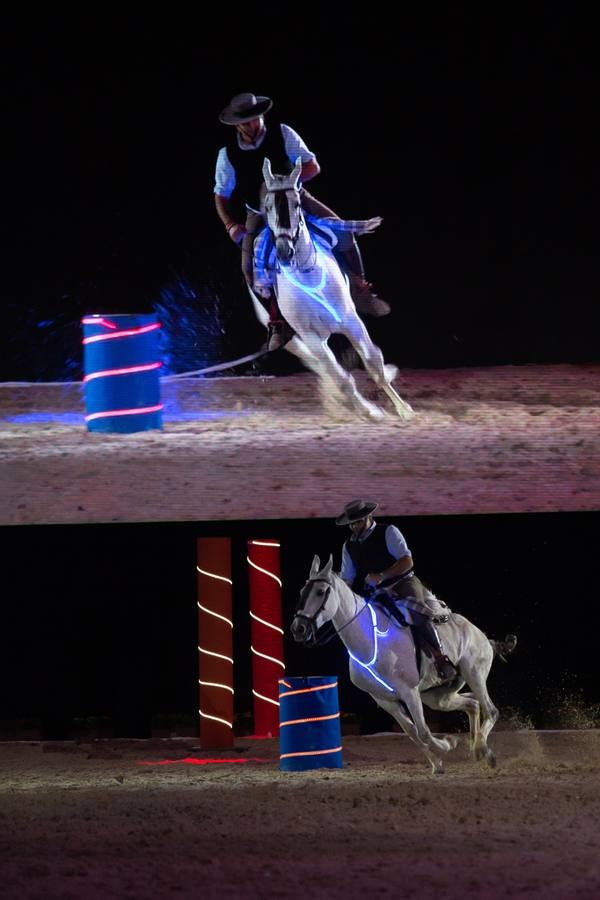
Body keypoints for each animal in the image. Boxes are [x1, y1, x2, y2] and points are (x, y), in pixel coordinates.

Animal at [248, 157, 412, 422]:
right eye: (268, 206)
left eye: (296, 204)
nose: (284, 252)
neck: (309, 276)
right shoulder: (311, 337)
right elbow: (341, 379)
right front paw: (371, 412)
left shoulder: (350, 321)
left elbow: (373, 363)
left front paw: (404, 409)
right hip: (294, 339)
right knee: (326, 369)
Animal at [292, 556, 516, 772]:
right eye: (302, 591)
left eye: (320, 591)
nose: (298, 628)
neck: (371, 641)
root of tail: (483, 636)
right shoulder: (385, 700)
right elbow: (413, 733)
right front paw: (437, 761)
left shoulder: (409, 692)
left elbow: (423, 731)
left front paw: (447, 745)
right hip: (437, 697)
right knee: (472, 704)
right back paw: (477, 750)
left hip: (473, 674)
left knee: (491, 710)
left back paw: (484, 751)